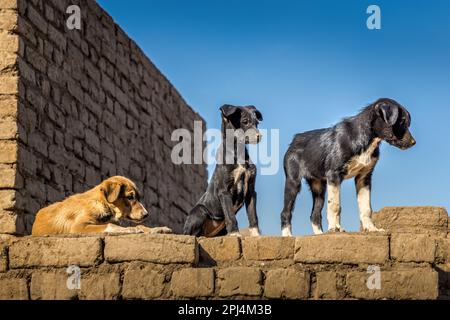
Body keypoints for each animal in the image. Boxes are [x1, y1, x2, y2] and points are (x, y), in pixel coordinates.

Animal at [31, 175, 172, 235]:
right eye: (130, 197)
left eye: (138, 197)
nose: (146, 214)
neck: (103, 205)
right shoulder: (78, 226)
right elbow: (109, 225)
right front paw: (131, 230)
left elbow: (141, 226)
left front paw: (159, 229)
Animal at [184, 105, 264, 238]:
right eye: (245, 122)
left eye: (257, 123)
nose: (260, 136)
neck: (237, 152)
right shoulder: (224, 190)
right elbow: (230, 216)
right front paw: (235, 233)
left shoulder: (251, 191)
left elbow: (253, 215)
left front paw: (256, 235)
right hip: (199, 210)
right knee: (192, 234)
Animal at [282, 97, 414, 235]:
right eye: (402, 121)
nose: (413, 142)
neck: (366, 139)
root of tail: (294, 140)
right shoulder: (334, 175)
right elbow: (335, 205)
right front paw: (334, 229)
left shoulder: (364, 177)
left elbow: (366, 207)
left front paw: (371, 228)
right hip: (293, 182)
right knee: (286, 212)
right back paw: (287, 235)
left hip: (318, 187)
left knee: (315, 214)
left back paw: (319, 234)